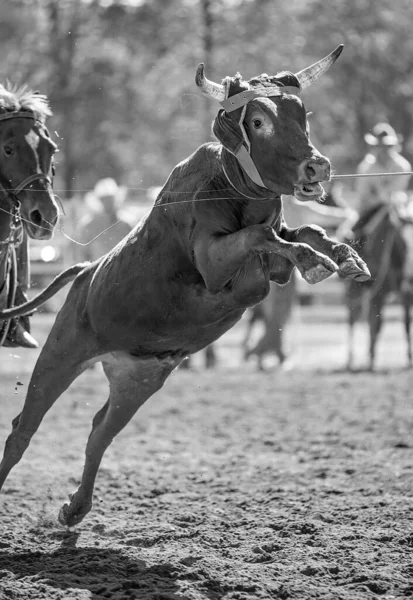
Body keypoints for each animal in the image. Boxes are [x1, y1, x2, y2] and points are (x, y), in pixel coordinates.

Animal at [346, 204, 410, 368]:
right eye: (403, 243)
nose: (410, 277)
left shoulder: (406, 293)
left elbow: (407, 323)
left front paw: (410, 358)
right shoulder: (377, 294)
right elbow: (375, 324)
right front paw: (371, 361)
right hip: (353, 292)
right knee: (353, 318)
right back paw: (351, 360)